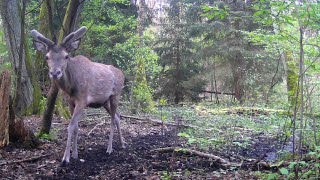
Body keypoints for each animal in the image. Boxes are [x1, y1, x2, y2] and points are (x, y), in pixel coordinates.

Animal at [31, 26, 125, 165]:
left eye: (66, 56)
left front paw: (66, 158)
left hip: (116, 95)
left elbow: (71, 126)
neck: (71, 87)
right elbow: (75, 127)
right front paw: (75, 154)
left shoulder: (83, 100)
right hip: (105, 101)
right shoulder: (71, 101)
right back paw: (122, 144)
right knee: (118, 117)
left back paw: (109, 148)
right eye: (47, 57)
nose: (55, 73)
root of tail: (123, 74)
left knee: (113, 119)